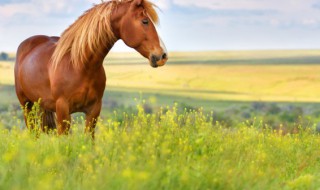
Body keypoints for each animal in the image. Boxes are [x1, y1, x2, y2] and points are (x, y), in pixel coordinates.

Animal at [13, 0, 168, 137]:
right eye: (145, 21)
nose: (162, 56)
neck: (80, 65)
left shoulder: (93, 110)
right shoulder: (63, 110)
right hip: (26, 106)